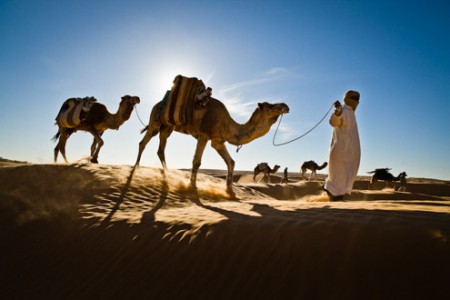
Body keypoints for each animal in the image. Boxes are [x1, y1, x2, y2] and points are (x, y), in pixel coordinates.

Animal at [134, 96, 288, 199]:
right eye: (269, 105)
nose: (285, 105)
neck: (226, 124)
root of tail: (156, 104)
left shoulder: (217, 141)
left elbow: (231, 162)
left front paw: (230, 192)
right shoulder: (204, 135)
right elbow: (196, 161)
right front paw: (192, 187)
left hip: (167, 127)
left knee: (160, 149)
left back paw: (167, 174)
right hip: (156, 121)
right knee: (143, 142)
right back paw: (136, 169)